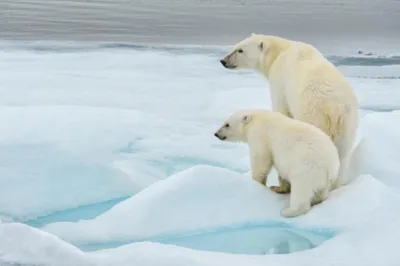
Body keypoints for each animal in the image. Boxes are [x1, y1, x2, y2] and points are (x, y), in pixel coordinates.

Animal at [219, 32, 360, 191]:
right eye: (235, 46)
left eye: (240, 50)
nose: (223, 61)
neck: (280, 51)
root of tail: (334, 109)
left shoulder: (279, 80)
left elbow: (280, 109)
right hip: (348, 124)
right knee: (343, 155)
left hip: (313, 114)